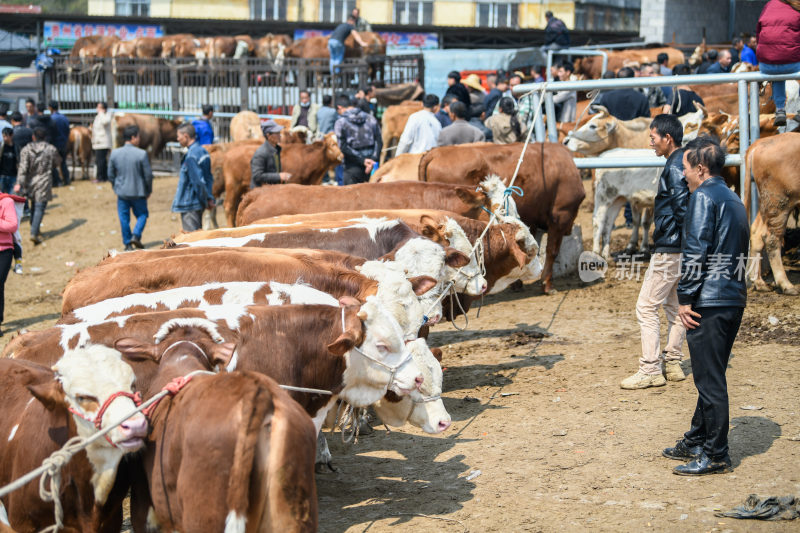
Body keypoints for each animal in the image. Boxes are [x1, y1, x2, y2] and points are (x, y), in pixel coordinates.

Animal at [744, 131, 800, 294]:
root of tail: (760, 143)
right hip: (779, 202)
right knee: (771, 239)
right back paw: (786, 285)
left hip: (766, 204)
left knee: (756, 233)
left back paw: (759, 282)